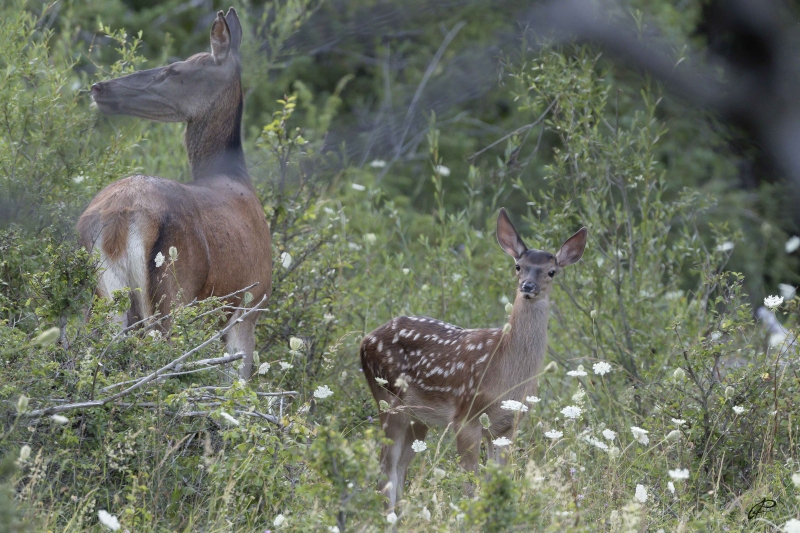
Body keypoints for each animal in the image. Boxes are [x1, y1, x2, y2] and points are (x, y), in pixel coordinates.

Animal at [78, 8, 272, 378]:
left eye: (174, 70)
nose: (99, 87)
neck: (234, 176)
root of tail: (118, 220)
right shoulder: (250, 305)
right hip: (172, 293)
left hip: (100, 295)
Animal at [360, 208, 584, 508]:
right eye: (518, 266)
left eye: (551, 271)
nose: (528, 286)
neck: (506, 374)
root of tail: (365, 341)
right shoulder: (466, 415)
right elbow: (470, 483)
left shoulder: (508, 425)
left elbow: (497, 480)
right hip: (388, 398)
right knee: (386, 468)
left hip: (418, 417)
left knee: (400, 466)